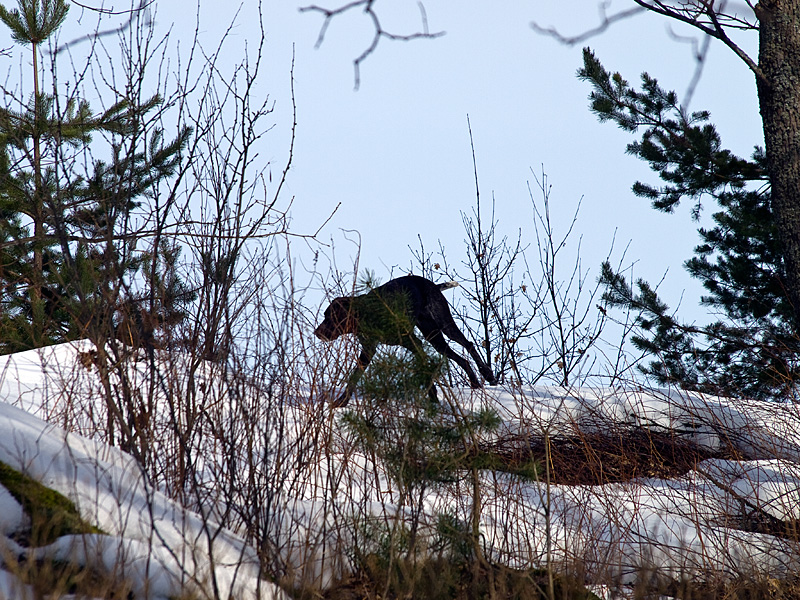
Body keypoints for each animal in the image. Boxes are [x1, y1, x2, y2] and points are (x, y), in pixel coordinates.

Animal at [312, 274, 494, 406]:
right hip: (434, 337)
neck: (368, 313)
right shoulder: (368, 350)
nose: (316, 332)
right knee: (462, 359)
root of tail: (432, 285)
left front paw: (433, 399)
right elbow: (354, 377)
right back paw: (475, 383)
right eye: (325, 315)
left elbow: (426, 372)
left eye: (332, 317)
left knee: (469, 345)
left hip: (445, 326)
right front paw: (342, 401)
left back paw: (487, 374)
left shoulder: (413, 343)